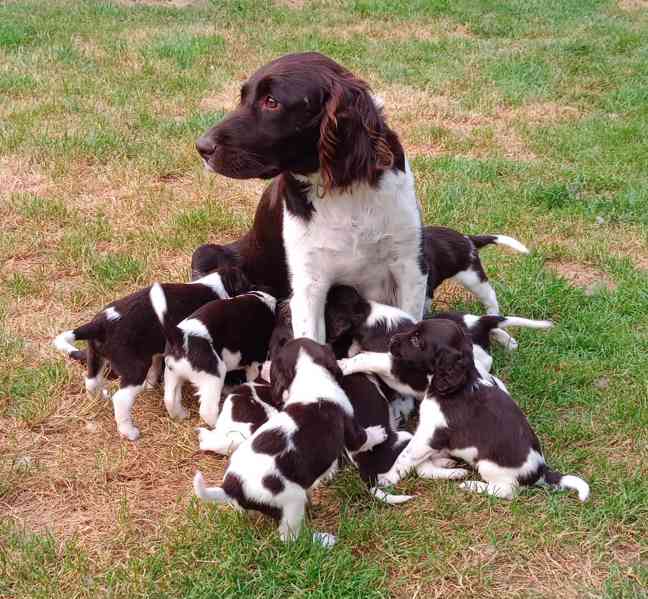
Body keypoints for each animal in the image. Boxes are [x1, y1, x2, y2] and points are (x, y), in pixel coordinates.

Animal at [153, 288, 278, 432]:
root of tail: (180, 337)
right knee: (207, 410)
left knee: (170, 398)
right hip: (214, 376)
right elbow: (254, 376)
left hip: (172, 373)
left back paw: (181, 414)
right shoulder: (256, 361)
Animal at [195, 52, 428, 342]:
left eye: (271, 102)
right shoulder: (309, 284)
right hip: (207, 253)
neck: (342, 193)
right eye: (243, 97)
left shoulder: (410, 266)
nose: (202, 147)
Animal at [344, 318, 592, 502]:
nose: (393, 339)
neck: (458, 386)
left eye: (416, 339)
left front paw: (387, 478)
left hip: (489, 467)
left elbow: (405, 457)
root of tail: (541, 471)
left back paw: (472, 485)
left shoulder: (428, 435)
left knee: (507, 491)